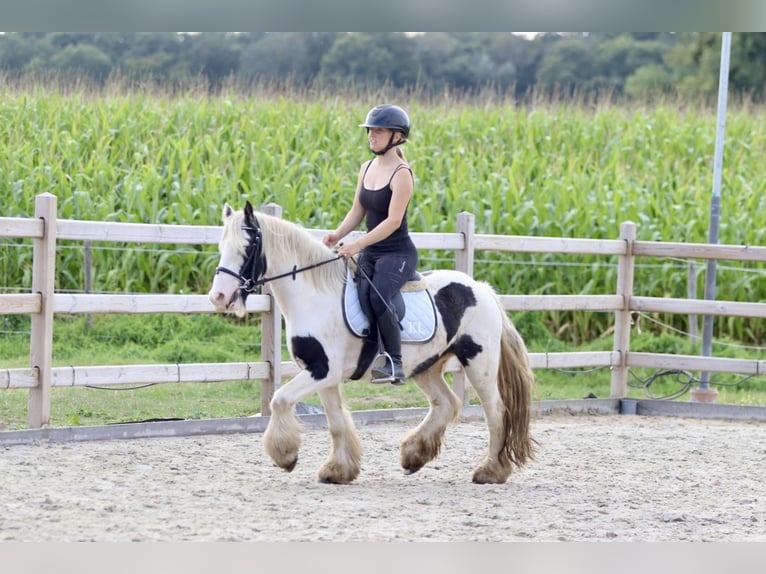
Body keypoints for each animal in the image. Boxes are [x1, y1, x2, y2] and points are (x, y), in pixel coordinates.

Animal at [207, 202, 536, 486]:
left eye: (247, 248)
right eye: (221, 248)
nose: (218, 297)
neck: (313, 297)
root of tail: (480, 287)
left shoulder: (321, 370)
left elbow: (280, 399)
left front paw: (286, 456)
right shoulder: (324, 376)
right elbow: (336, 422)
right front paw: (338, 470)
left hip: (479, 362)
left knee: (495, 412)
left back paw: (490, 470)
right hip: (426, 366)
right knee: (446, 403)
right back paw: (413, 456)